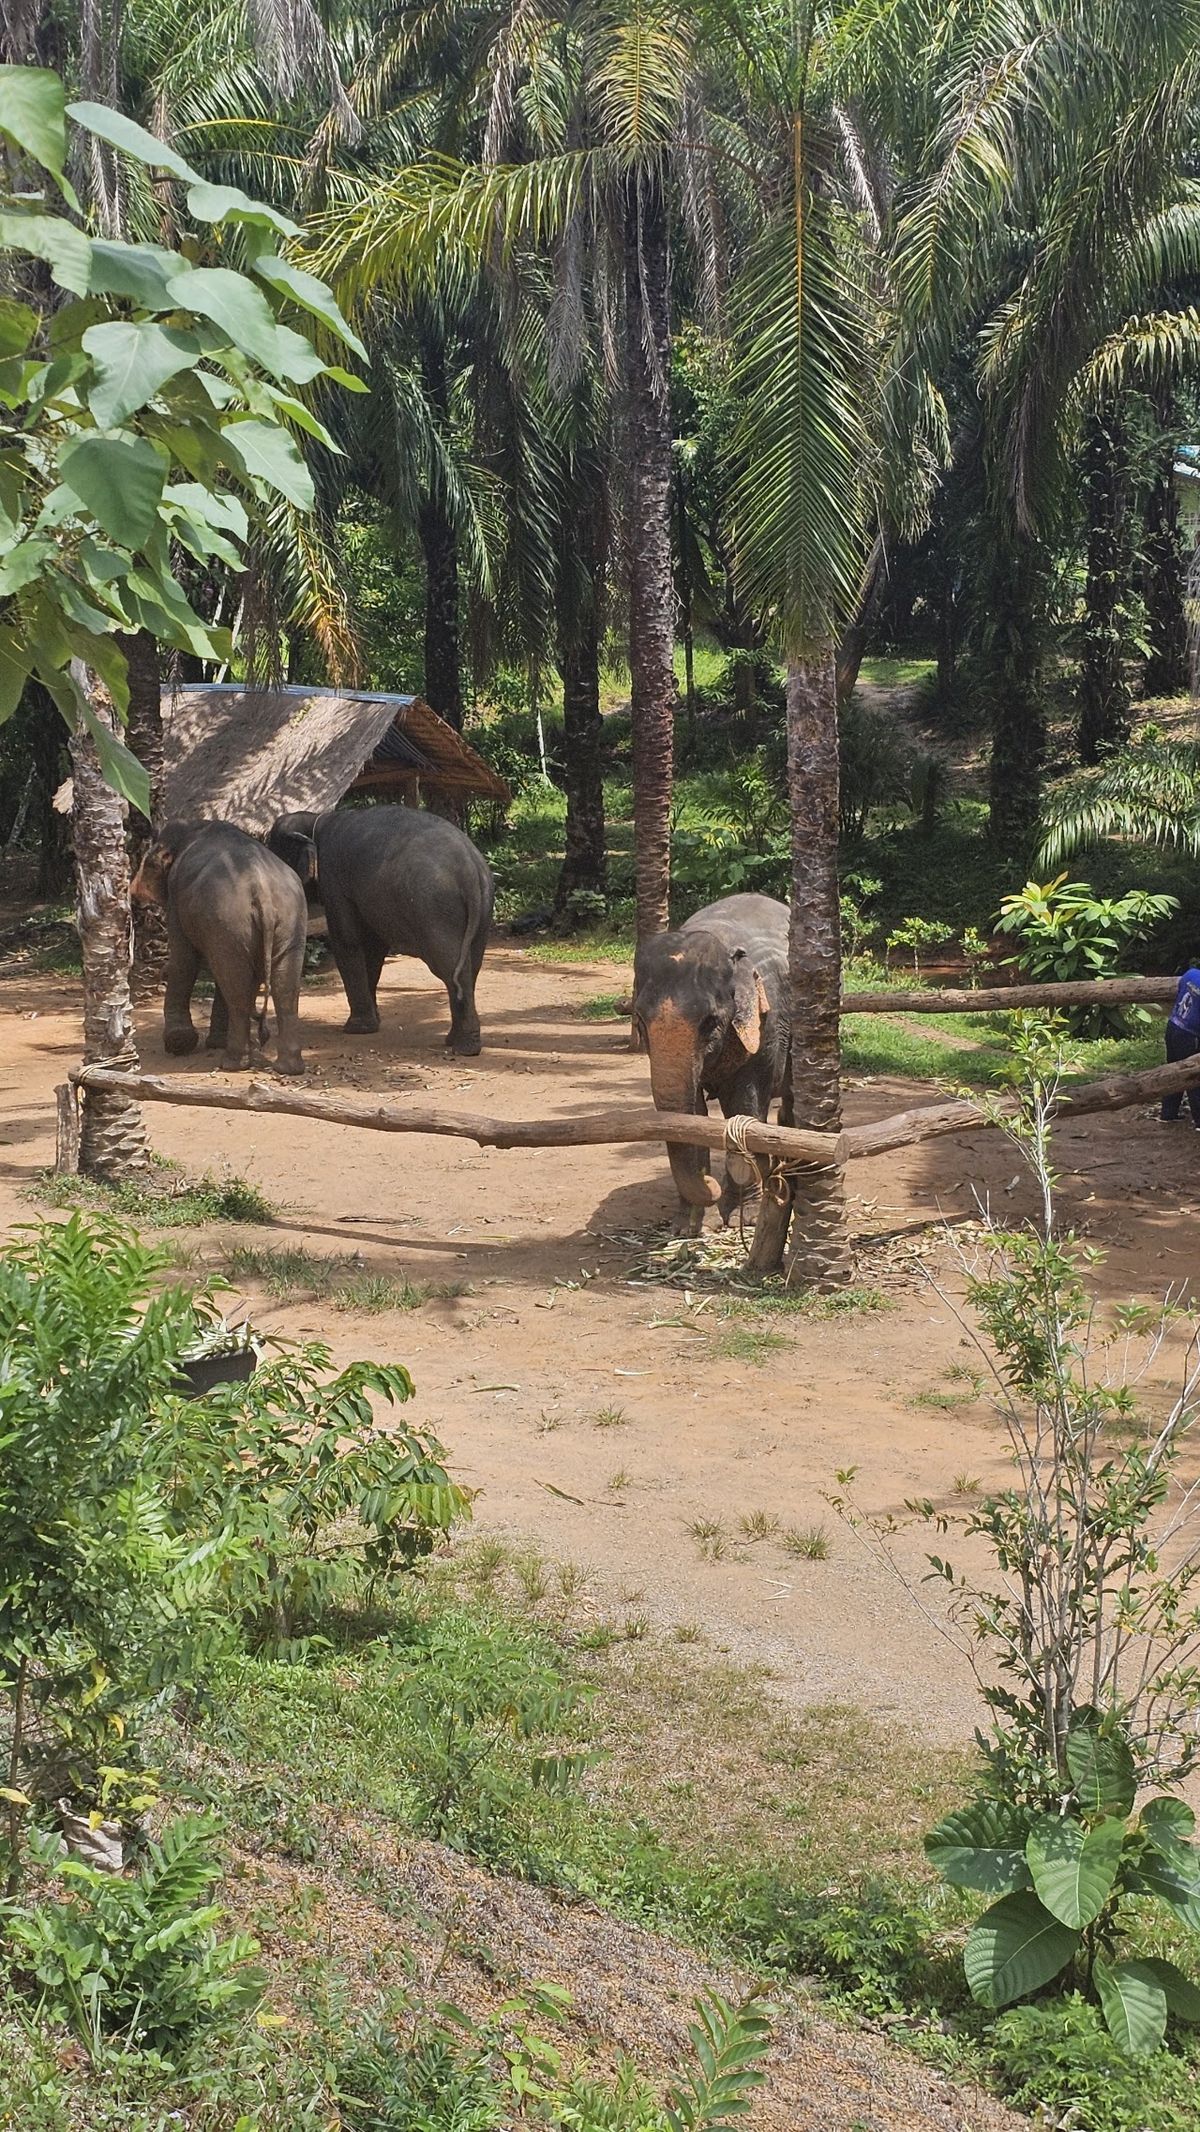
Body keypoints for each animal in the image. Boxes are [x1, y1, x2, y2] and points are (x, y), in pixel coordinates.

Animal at [130, 820, 307, 1075]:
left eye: (150, 864)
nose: (132, 894)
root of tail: (262, 890)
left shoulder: (176, 898)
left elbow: (183, 961)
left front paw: (179, 1043)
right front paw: (212, 1042)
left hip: (229, 918)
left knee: (236, 986)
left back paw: (232, 1063)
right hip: (289, 918)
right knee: (283, 986)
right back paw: (288, 1068)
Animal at [266, 805, 495, 1055]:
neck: (316, 820)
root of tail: (470, 868)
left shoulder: (334, 878)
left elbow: (347, 940)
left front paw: (356, 1029)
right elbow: (373, 947)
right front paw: (372, 1022)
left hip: (437, 910)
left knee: (451, 968)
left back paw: (464, 1048)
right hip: (482, 909)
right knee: (471, 966)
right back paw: (455, 1040)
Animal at [632, 892, 791, 1235]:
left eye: (710, 1022)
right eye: (640, 1019)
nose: (708, 1182)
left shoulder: (767, 1026)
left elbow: (746, 1103)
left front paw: (746, 1218)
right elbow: (693, 1111)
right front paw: (688, 1228)